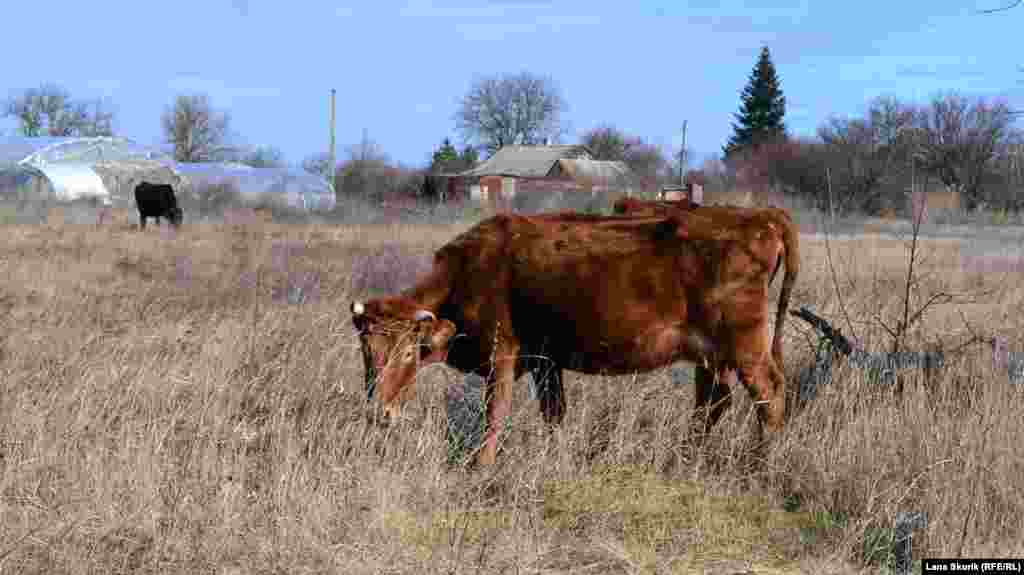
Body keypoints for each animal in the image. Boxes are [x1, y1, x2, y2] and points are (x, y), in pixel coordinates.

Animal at [348, 210, 786, 466]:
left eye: (408, 353)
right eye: (367, 352)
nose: (377, 414)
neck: (469, 271)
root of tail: (760, 218)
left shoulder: (503, 354)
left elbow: (495, 411)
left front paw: (481, 466)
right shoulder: (546, 362)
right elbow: (554, 412)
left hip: (746, 348)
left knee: (769, 394)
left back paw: (763, 464)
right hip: (712, 355)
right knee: (713, 402)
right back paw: (687, 457)